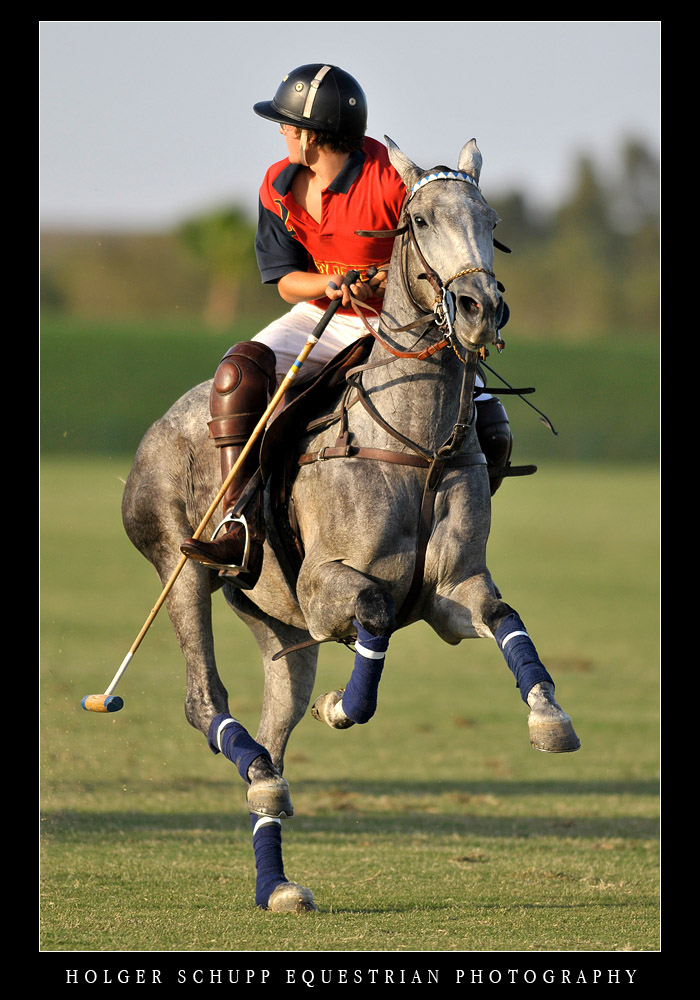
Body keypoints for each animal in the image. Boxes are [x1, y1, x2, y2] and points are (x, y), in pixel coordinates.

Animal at [121, 141, 580, 916]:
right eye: (418, 220)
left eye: (490, 219)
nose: (480, 307)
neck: (417, 440)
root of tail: (156, 429)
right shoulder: (324, 588)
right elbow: (372, 613)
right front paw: (342, 706)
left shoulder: (450, 592)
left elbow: (503, 615)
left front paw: (550, 717)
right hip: (182, 572)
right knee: (201, 699)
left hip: (282, 633)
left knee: (272, 741)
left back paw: (274, 868)